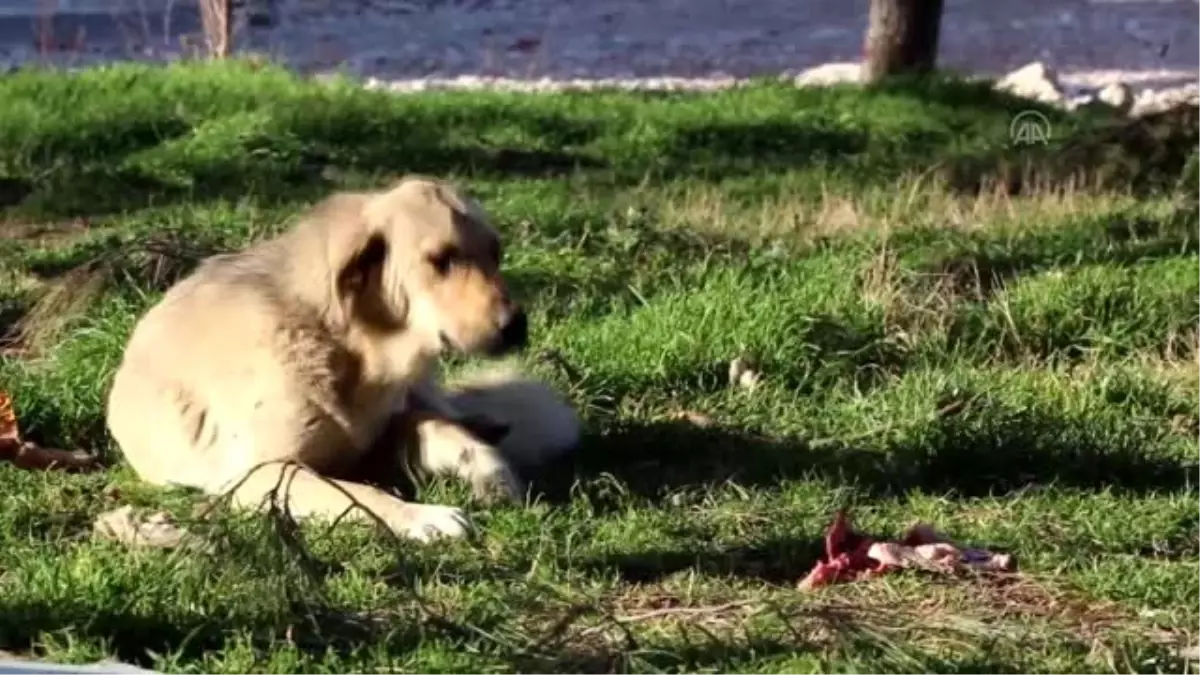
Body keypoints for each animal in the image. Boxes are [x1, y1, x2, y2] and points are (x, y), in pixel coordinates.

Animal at [105, 174, 583, 540]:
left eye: (496, 254)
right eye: (441, 260)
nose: (517, 325)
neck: (345, 346)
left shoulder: (384, 430)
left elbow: (441, 432)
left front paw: (492, 473)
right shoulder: (260, 475)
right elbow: (360, 495)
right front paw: (420, 516)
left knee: (449, 410)